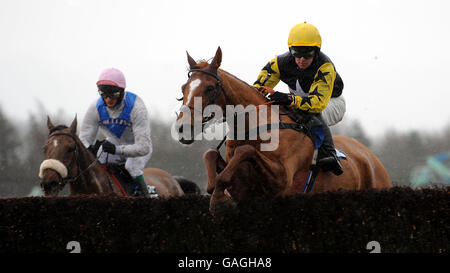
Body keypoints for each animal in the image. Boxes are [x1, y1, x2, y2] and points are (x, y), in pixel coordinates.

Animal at [174, 47, 392, 212]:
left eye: (210, 88)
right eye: (183, 88)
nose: (183, 128)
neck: (256, 127)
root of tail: (373, 159)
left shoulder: (282, 180)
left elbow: (245, 151)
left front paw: (219, 202)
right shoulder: (243, 190)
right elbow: (211, 158)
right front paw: (217, 193)